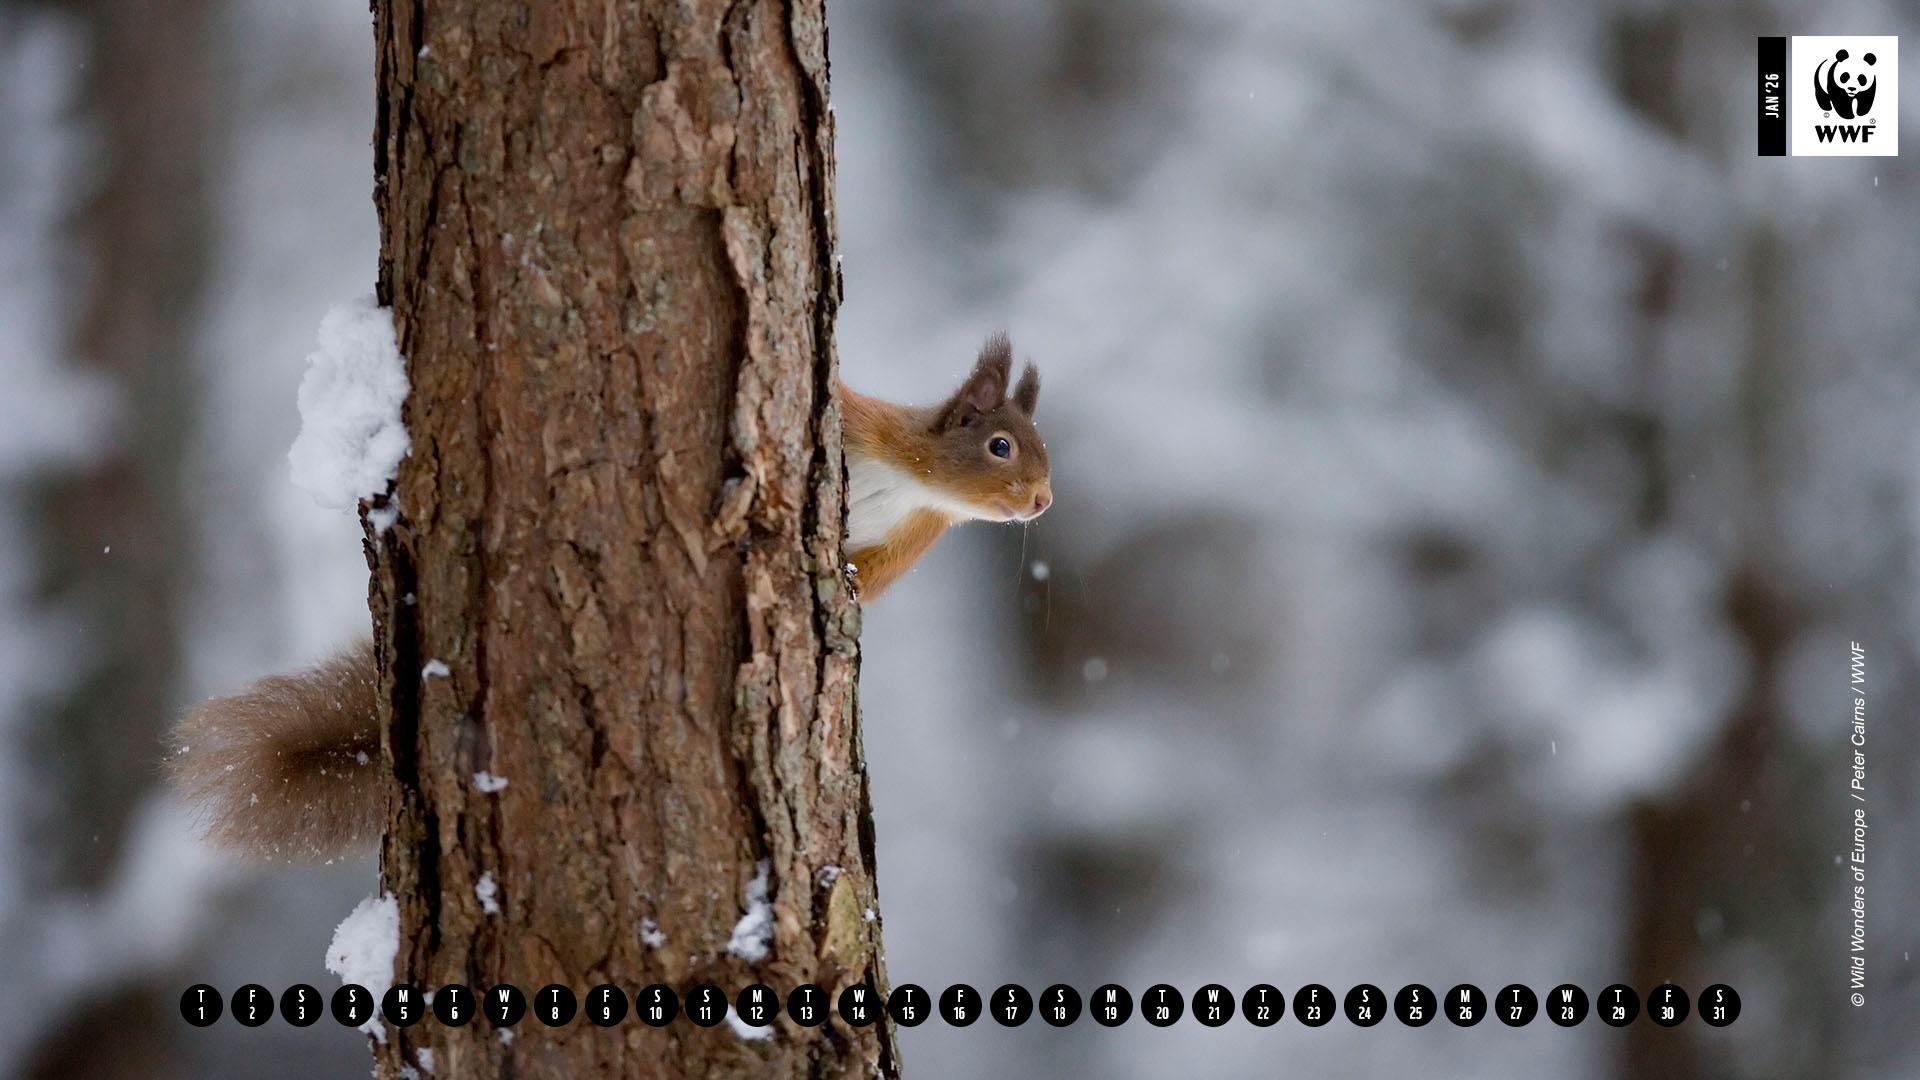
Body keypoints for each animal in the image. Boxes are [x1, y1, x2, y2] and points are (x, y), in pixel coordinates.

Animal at [168, 334, 1051, 859]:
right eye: (1001, 444)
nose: (1044, 501)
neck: (912, 482)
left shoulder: (908, 544)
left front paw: (853, 591)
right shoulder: (867, 429)